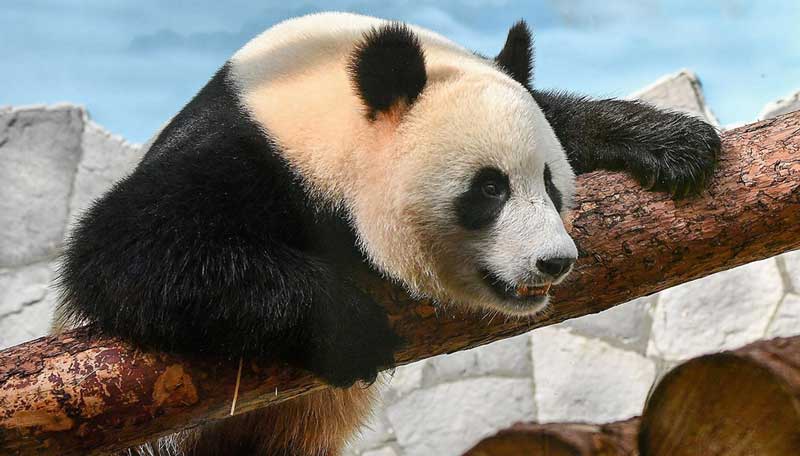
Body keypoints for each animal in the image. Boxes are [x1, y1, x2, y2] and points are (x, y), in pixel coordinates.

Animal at [55, 12, 719, 456]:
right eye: (489, 189)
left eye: (551, 184)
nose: (554, 262)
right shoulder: (246, 150)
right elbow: (126, 253)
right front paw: (351, 327)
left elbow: (560, 112)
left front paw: (675, 143)